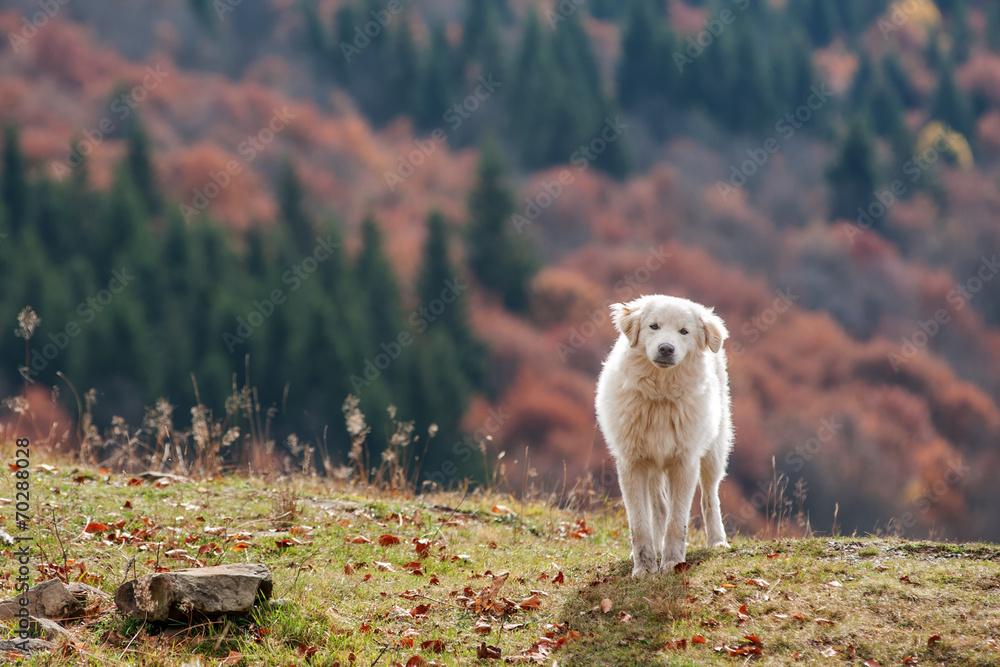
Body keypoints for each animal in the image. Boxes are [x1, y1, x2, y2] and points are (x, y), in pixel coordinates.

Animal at [592, 294, 736, 576]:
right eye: (654, 326)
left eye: (684, 331)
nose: (666, 349)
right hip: (654, 467)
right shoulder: (632, 463)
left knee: (709, 497)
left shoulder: (685, 463)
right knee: (659, 507)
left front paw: (672, 563)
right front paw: (644, 567)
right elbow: (639, 523)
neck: (660, 396)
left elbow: (677, 521)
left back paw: (717, 541)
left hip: (713, 453)